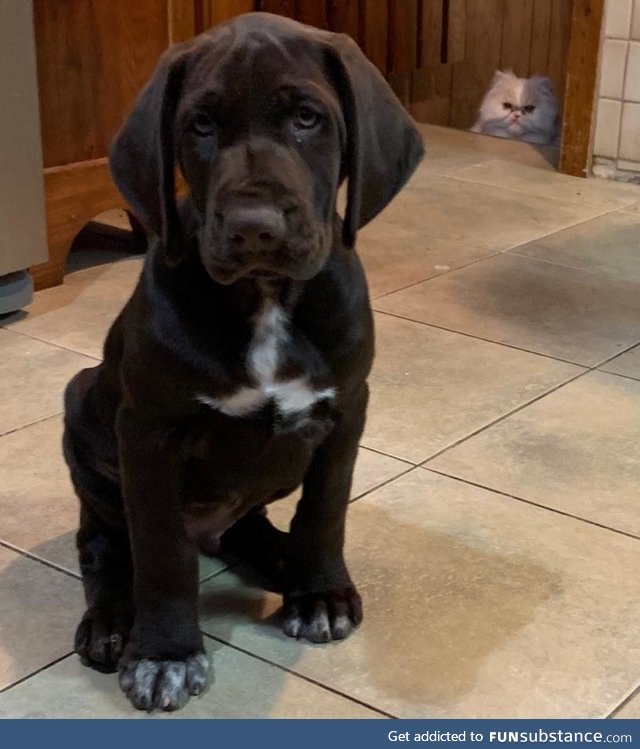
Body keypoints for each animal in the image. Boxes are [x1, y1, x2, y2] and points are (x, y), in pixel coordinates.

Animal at [63, 13, 424, 712]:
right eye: (200, 125)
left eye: (307, 118)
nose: (255, 226)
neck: (265, 298)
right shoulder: (148, 431)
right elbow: (160, 551)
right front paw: (166, 654)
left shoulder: (347, 408)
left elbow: (326, 509)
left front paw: (320, 592)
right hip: (82, 411)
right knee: (104, 542)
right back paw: (114, 620)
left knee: (252, 526)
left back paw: (284, 560)